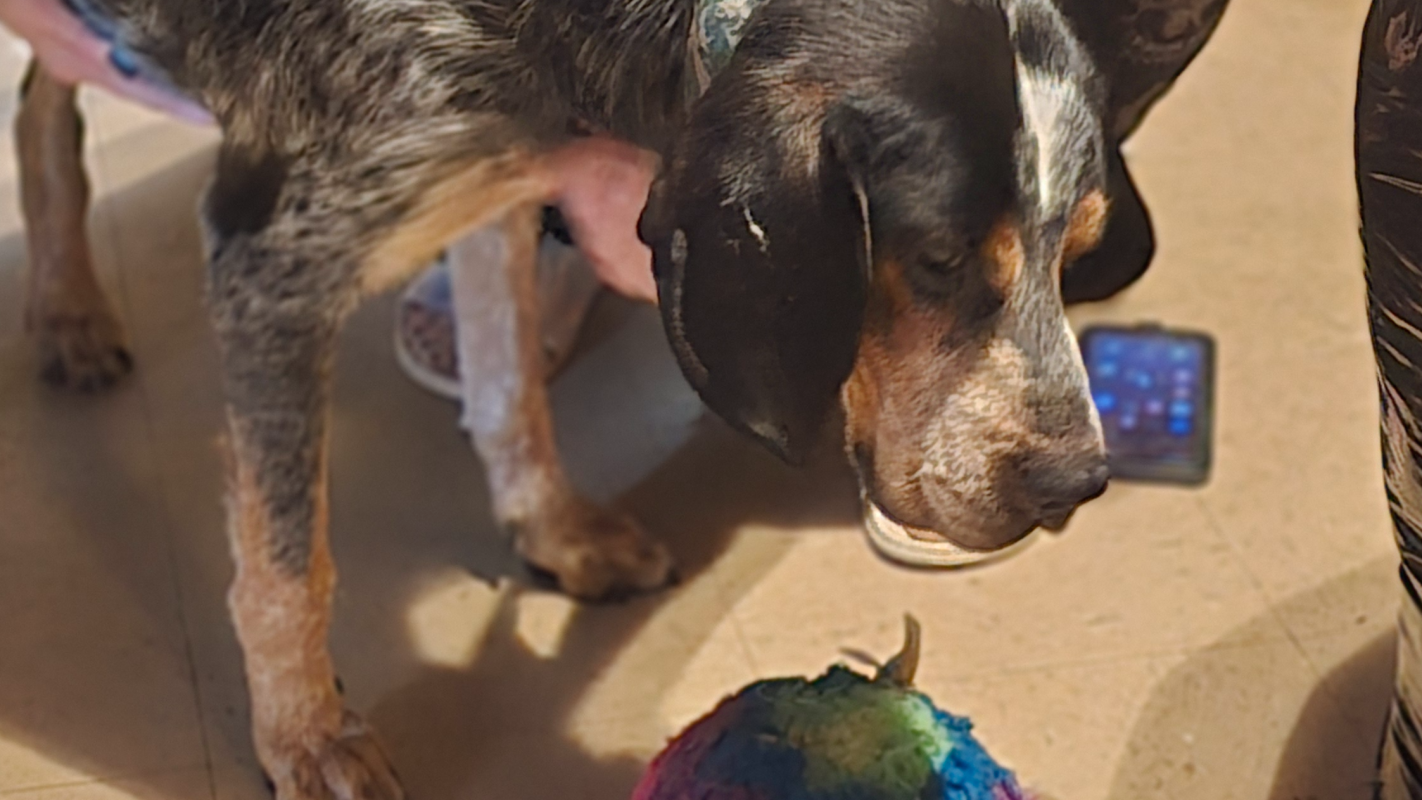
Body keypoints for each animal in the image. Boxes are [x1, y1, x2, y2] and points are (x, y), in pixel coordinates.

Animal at [11, 0, 1228, 795]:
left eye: (1079, 248)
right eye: (934, 260)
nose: (1080, 482)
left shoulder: (495, 171)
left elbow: (509, 385)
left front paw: (553, 529)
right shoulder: (274, 257)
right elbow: (283, 565)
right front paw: (305, 732)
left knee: (36, 97)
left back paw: (68, 302)